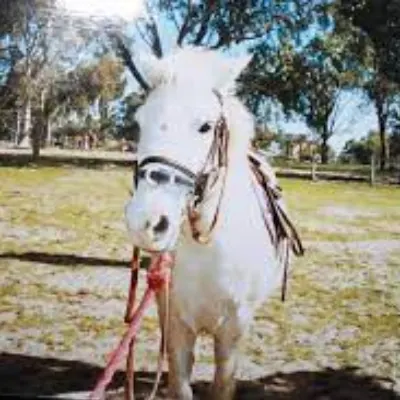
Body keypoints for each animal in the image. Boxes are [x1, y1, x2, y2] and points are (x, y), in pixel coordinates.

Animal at [125, 47, 294, 400]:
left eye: (205, 126)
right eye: (140, 122)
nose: (146, 222)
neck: (207, 243)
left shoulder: (233, 329)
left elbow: (222, 385)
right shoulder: (174, 323)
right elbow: (179, 385)